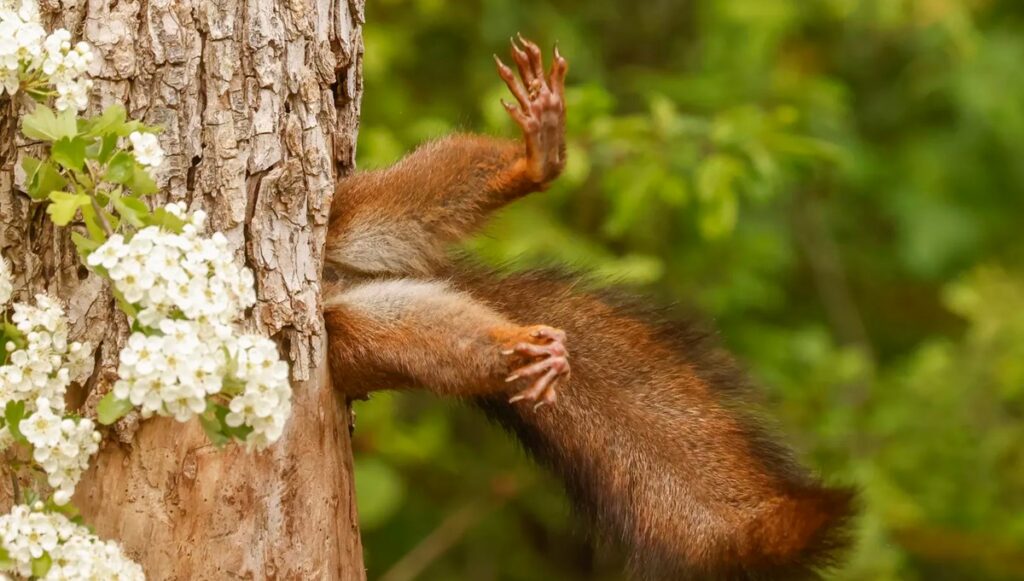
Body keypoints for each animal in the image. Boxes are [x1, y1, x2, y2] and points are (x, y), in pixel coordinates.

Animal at [323, 36, 851, 581]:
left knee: (421, 191)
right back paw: (523, 350)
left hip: (352, 211)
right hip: (356, 333)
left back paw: (537, 158)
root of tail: (341, 280)